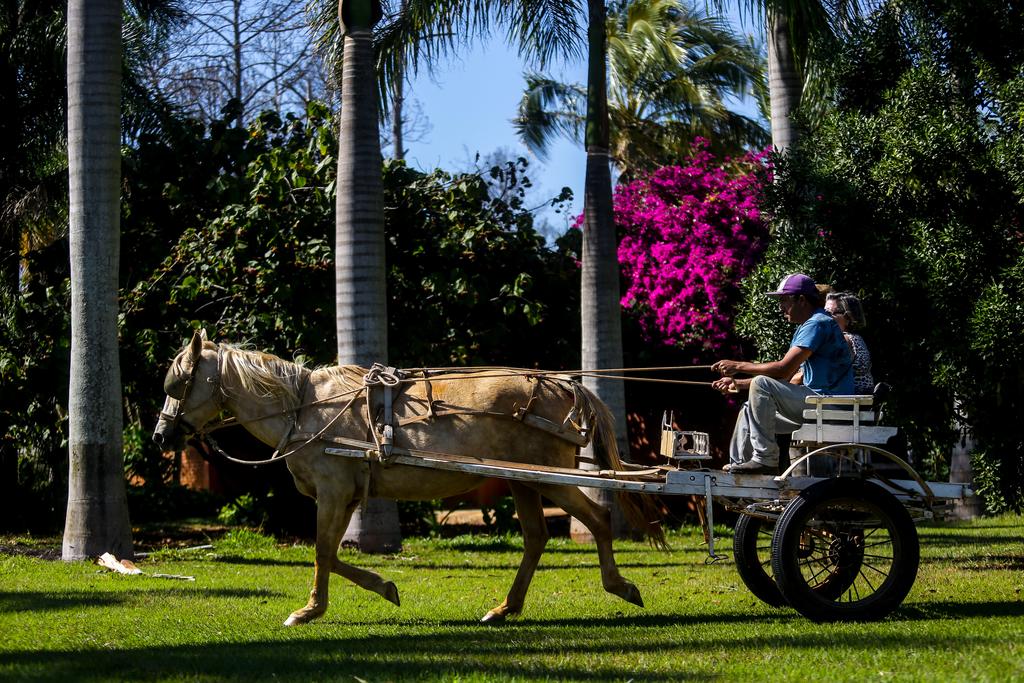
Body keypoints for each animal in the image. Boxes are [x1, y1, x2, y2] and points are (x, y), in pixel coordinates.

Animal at [151, 331, 663, 626]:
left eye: (179, 384)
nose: (160, 434)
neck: (303, 408)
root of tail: (564, 384)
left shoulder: (334, 492)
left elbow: (322, 551)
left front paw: (310, 610)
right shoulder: (348, 495)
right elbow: (331, 553)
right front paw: (382, 588)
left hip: (550, 479)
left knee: (597, 519)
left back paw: (620, 586)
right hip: (524, 480)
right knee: (536, 538)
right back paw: (505, 608)